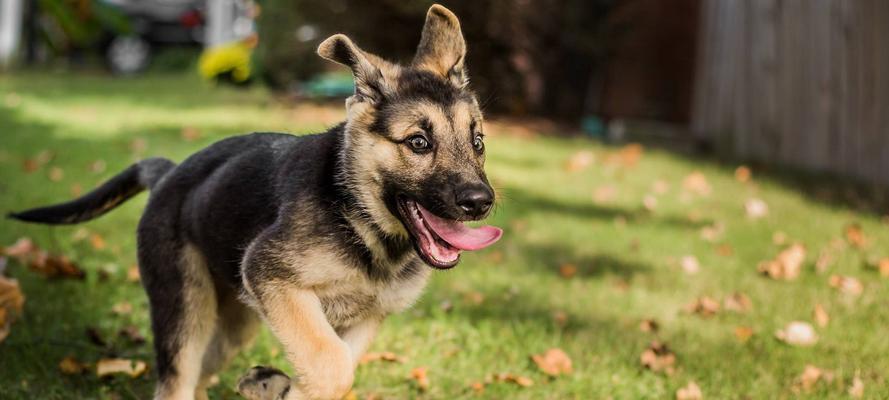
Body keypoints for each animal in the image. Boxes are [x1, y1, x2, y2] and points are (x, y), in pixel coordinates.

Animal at [8, 3, 500, 400]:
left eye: (477, 142)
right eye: (418, 143)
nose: (481, 202)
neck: (360, 219)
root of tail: (168, 173)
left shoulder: (364, 318)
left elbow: (335, 365)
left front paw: (276, 386)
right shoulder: (272, 276)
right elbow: (332, 366)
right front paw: (284, 389)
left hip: (233, 323)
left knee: (201, 376)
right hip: (186, 307)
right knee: (177, 381)